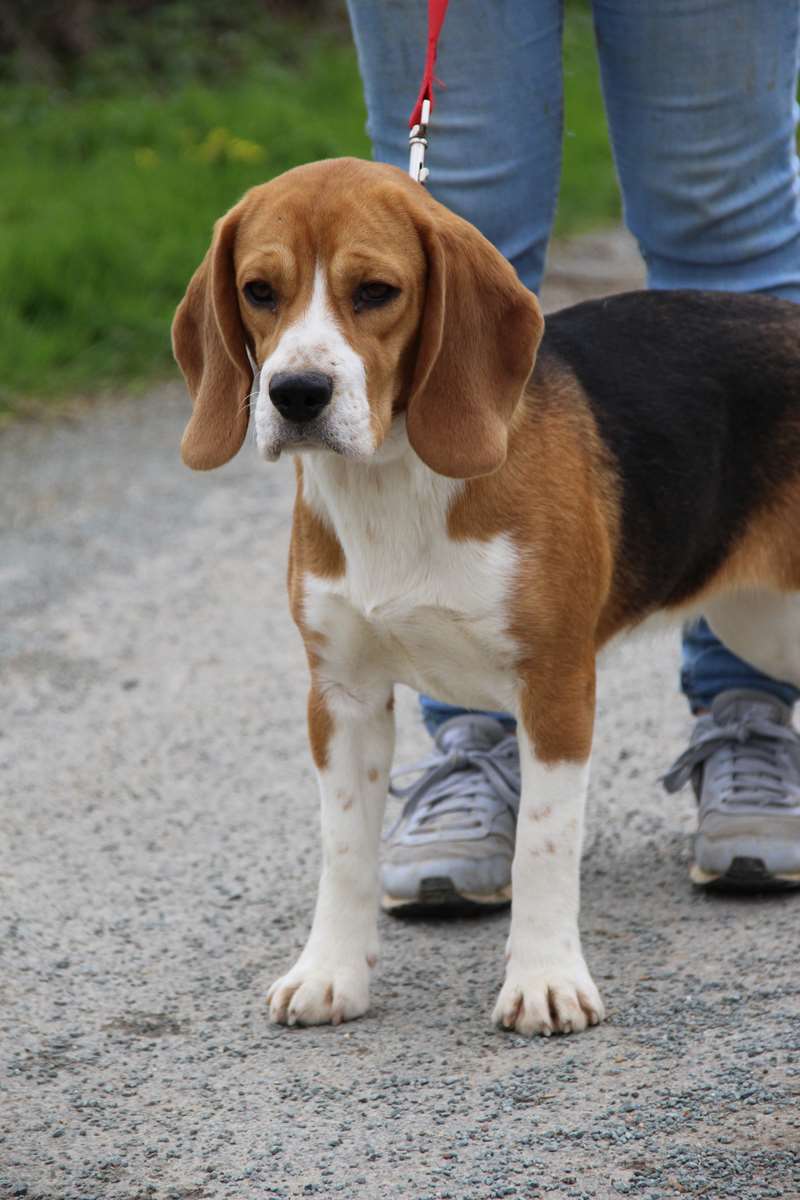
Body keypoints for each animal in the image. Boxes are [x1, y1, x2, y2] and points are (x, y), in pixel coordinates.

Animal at [172, 159, 800, 1036]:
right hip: (759, 620)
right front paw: (331, 973)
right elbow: (344, 849)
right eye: (259, 291)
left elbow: (543, 846)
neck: (394, 481)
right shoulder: (341, 695)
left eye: (376, 291)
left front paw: (544, 982)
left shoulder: (557, 686)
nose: (297, 393)